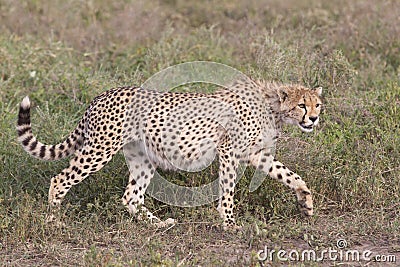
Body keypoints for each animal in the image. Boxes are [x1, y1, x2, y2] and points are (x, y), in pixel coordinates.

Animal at [16, 78, 322, 230]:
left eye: (317, 104)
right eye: (302, 105)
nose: (314, 119)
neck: (273, 107)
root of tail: (102, 95)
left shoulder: (256, 154)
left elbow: (292, 176)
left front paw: (306, 204)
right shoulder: (229, 151)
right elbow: (228, 189)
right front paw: (229, 222)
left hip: (142, 158)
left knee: (131, 197)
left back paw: (159, 225)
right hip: (99, 150)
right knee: (60, 179)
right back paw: (53, 219)